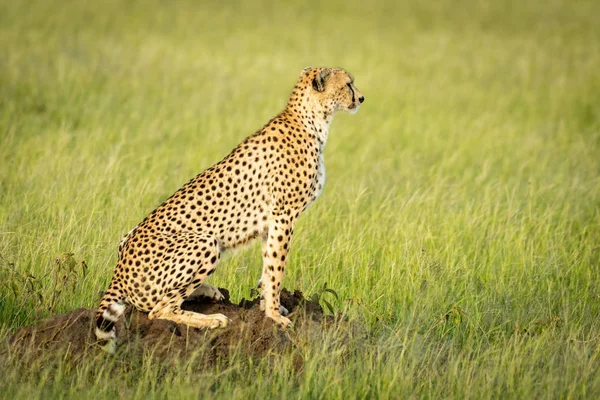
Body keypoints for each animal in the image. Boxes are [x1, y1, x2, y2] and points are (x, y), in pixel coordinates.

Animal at [95, 67, 366, 352]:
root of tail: (119, 270)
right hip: (205, 242)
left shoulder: (270, 223)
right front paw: (274, 316)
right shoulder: (283, 216)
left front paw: (268, 307)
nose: (361, 98)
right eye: (348, 84)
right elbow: (276, 270)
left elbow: (268, 268)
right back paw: (212, 319)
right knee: (159, 309)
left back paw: (206, 291)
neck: (311, 120)